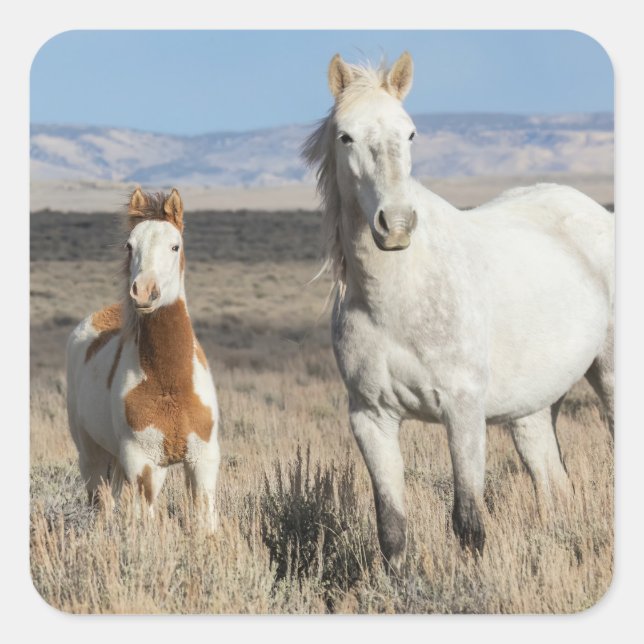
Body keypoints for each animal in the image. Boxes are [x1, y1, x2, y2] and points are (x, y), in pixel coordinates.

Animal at [66, 188, 221, 530]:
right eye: (129, 245)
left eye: (175, 245)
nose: (144, 292)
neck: (170, 383)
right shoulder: (143, 464)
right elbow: (145, 523)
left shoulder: (202, 461)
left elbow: (205, 521)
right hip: (93, 458)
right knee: (102, 504)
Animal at [303, 52, 614, 574]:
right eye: (345, 136)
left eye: (410, 133)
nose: (396, 225)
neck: (397, 296)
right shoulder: (371, 418)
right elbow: (392, 529)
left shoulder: (463, 410)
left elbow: (468, 522)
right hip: (534, 409)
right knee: (554, 485)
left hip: (609, 375)